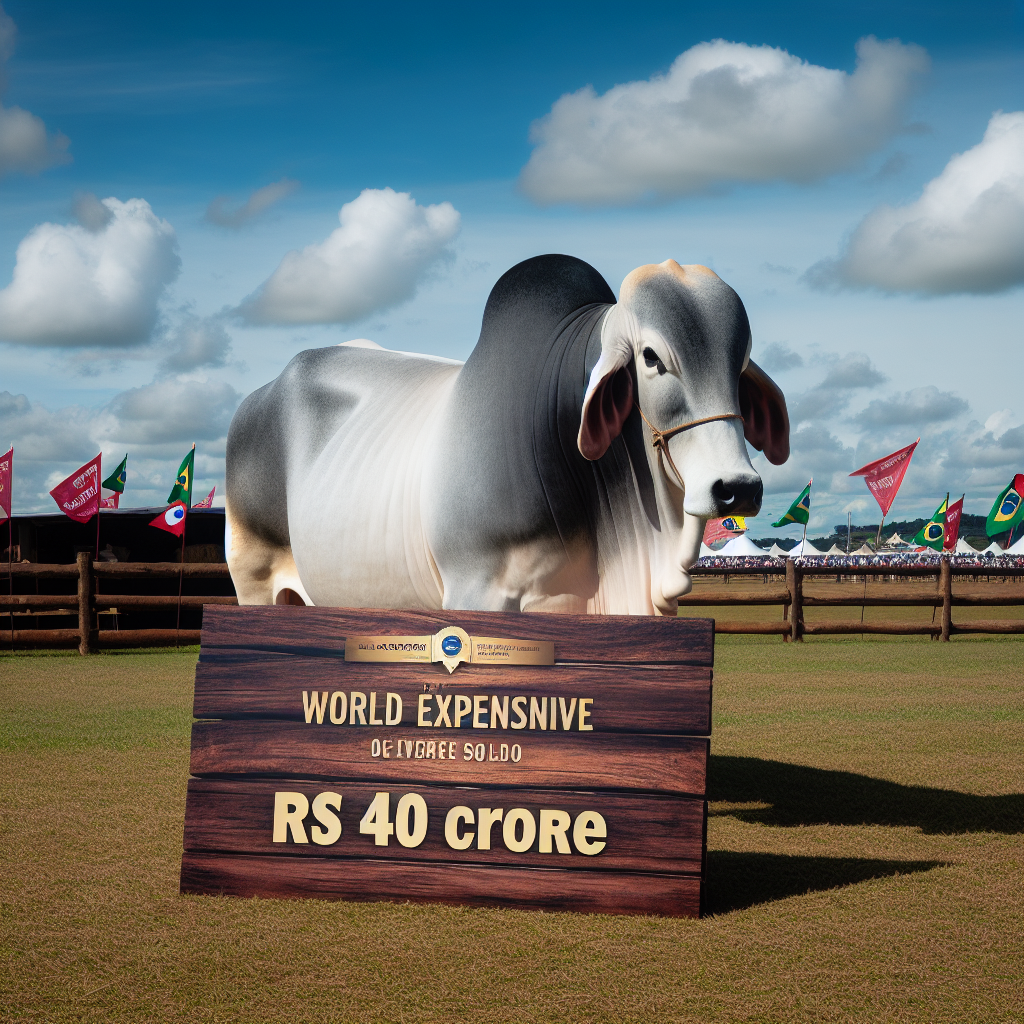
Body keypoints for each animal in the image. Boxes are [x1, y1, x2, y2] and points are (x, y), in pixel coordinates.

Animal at [225, 254, 789, 615]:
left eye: (740, 362)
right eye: (651, 357)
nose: (737, 488)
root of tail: (257, 397)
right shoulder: (477, 592)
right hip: (254, 580)